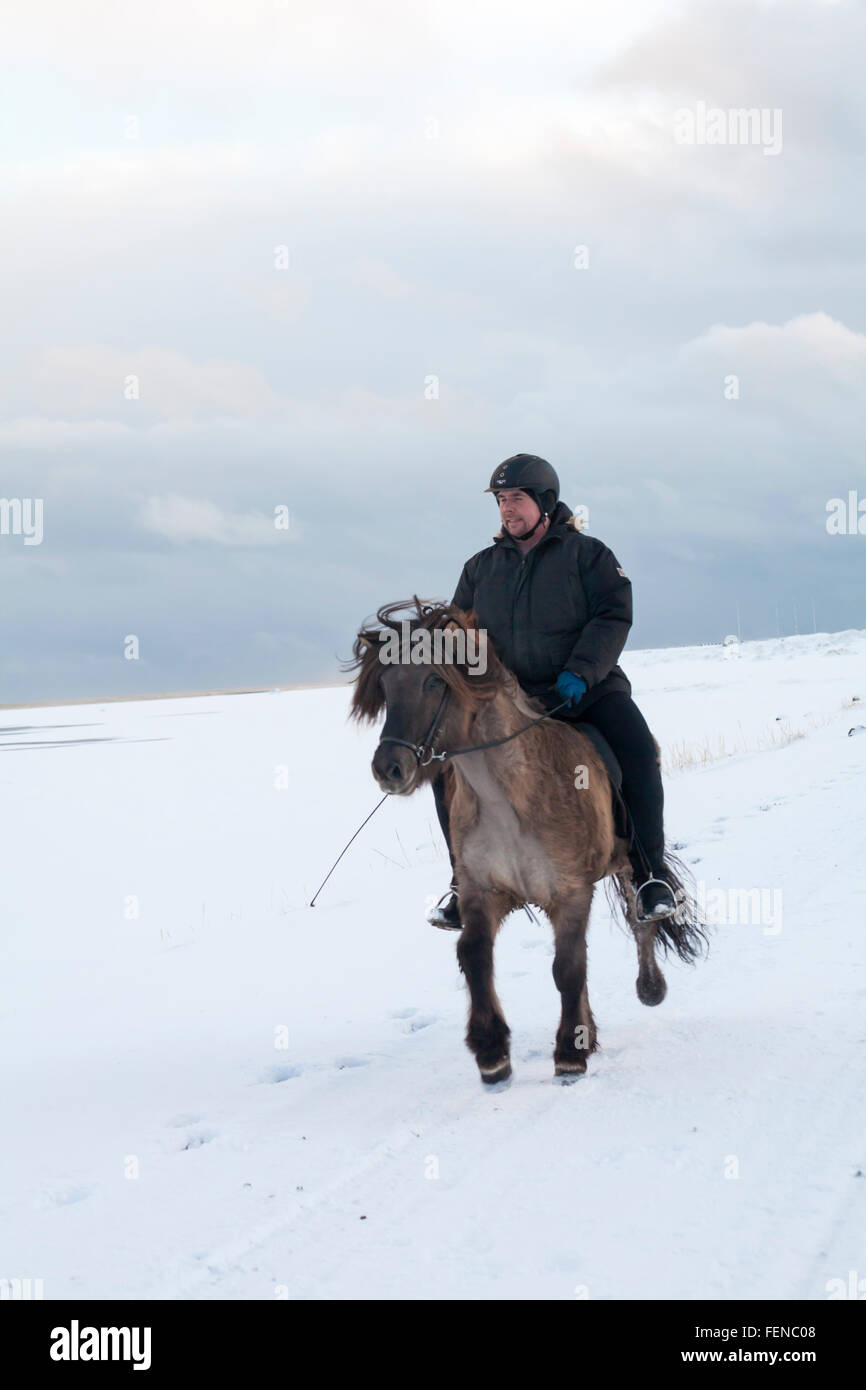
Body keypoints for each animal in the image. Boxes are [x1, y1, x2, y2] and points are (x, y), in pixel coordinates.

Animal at [346, 597, 706, 1084]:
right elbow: (475, 955)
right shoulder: (483, 892)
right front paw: (491, 1051)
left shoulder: (570, 892)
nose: (389, 768)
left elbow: (567, 967)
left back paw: (649, 988)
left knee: (641, 920)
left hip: (630, 864)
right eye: (385, 684)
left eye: (434, 680)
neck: (508, 799)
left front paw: (569, 1052)